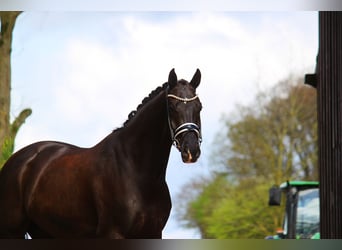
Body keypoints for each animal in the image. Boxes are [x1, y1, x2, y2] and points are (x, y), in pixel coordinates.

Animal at [0, 68, 202, 238]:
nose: (191, 150)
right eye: (172, 106)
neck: (138, 172)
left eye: (199, 106)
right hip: (11, 231)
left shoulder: (152, 233)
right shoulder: (113, 233)